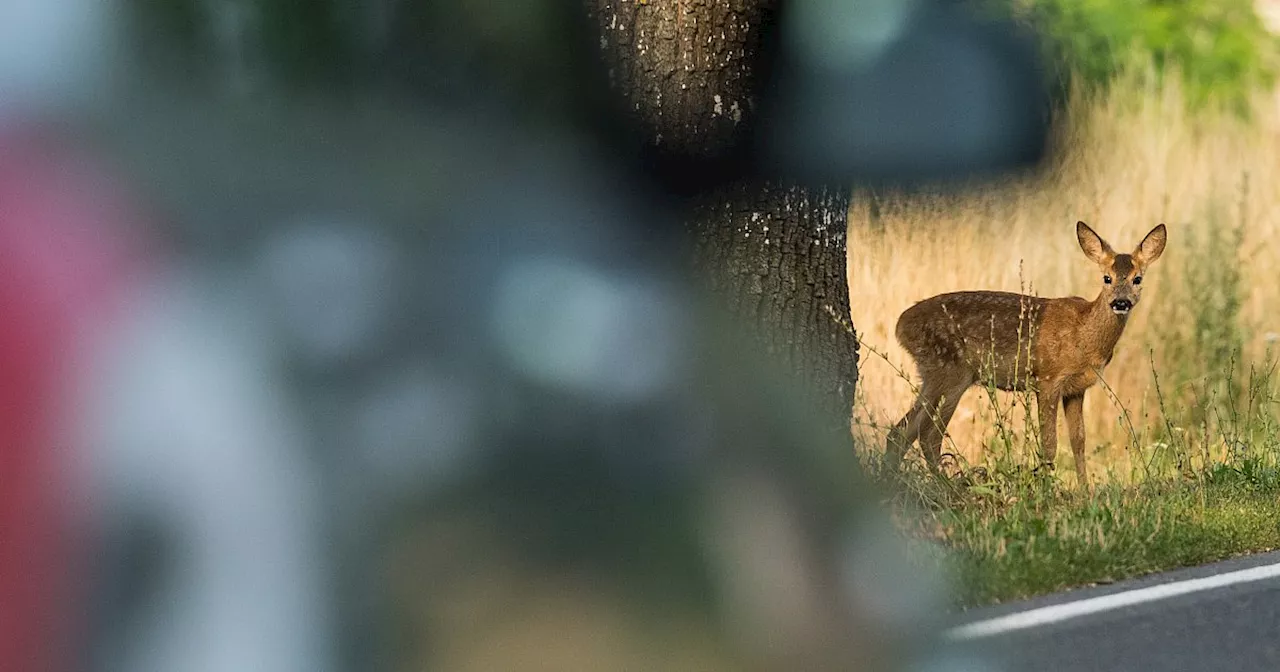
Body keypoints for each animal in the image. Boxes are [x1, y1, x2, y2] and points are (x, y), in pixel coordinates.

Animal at [885, 221, 1167, 481]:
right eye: (1106, 278)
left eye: (1137, 279)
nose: (1121, 302)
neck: (1084, 335)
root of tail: (901, 325)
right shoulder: (1048, 379)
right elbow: (1050, 445)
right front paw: (1047, 489)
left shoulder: (1076, 389)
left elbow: (1079, 442)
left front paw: (1085, 492)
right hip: (951, 372)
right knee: (928, 435)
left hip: (933, 374)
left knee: (902, 432)